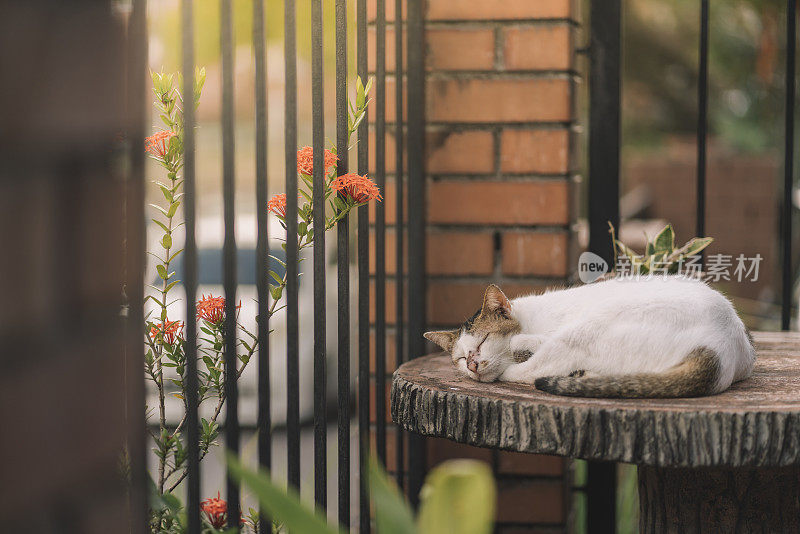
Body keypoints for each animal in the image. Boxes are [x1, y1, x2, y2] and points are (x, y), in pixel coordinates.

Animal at [424, 276, 756, 398]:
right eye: (459, 359)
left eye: (482, 342)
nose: (472, 365)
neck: (532, 320)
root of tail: (720, 346)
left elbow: (520, 352)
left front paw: (518, 348)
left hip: (585, 330)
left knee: (531, 372)